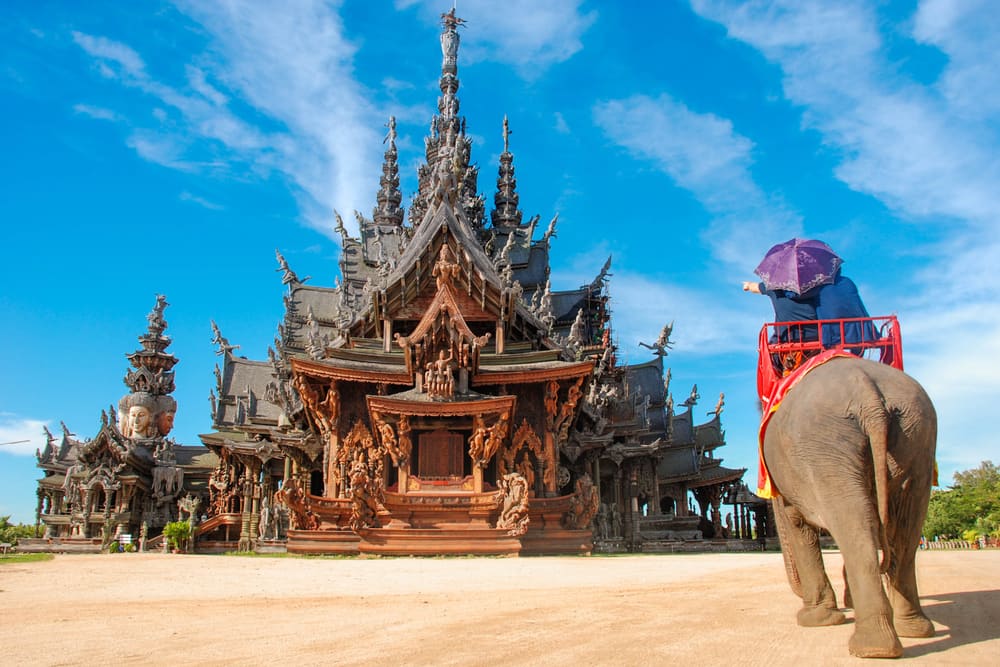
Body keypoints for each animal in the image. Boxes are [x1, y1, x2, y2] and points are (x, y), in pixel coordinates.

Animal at [764, 358, 936, 660]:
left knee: (857, 525)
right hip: (916, 435)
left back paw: (872, 645)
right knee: (903, 529)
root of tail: (868, 396)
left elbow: (798, 526)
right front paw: (843, 604)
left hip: (823, 446)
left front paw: (816, 618)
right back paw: (907, 631)